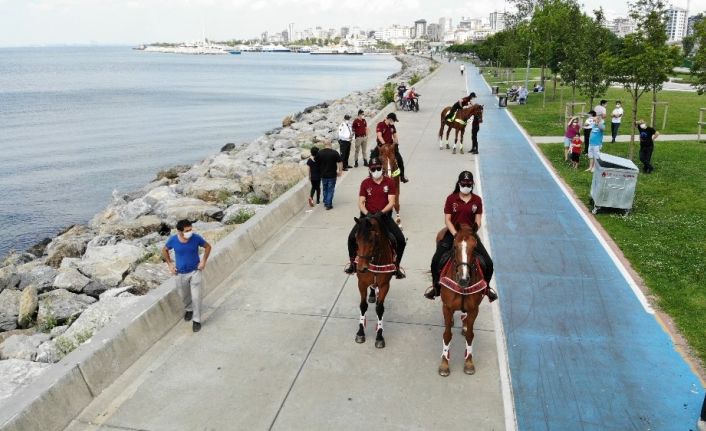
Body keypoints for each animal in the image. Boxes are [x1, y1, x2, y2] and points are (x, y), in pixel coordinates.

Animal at [352, 214, 396, 350]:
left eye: (371, 240)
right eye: (356, 238)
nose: (361, 268)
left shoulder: (385, 285)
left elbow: (380, 308)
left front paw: (379, 337)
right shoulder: (361, 283)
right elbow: (363, 306)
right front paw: (360, 333)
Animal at [434, 224, 484, 376]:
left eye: (475, 247)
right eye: (455, 247)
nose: (464, 279)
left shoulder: (474, 309)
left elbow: (470, 335)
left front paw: (469, 363)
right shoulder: (447, 307)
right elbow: (447, 335)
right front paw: (444, 365)